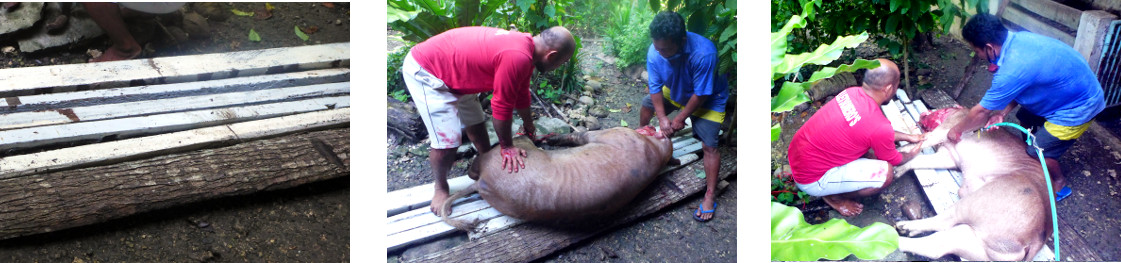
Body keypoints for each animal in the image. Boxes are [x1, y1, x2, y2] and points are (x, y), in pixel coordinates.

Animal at [439, 125, 672, 230]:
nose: (657, 127)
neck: (656, 151)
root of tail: (482, 182)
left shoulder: (606, 134)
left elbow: (578, 135)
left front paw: (555, 139)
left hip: (511, 151)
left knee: (485, 158)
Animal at [892, 107, 1049, 260]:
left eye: (939, 111)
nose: (923, 113)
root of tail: (1036, 240)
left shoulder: (947, 129)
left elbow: (921, 142)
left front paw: (898, 154)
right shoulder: (948, 156)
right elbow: (921, 159)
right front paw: (897, 172)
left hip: (982, 201)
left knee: (944, 221)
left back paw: (900, 229)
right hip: (983, 246)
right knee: (940, 244)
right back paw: (904, 232)